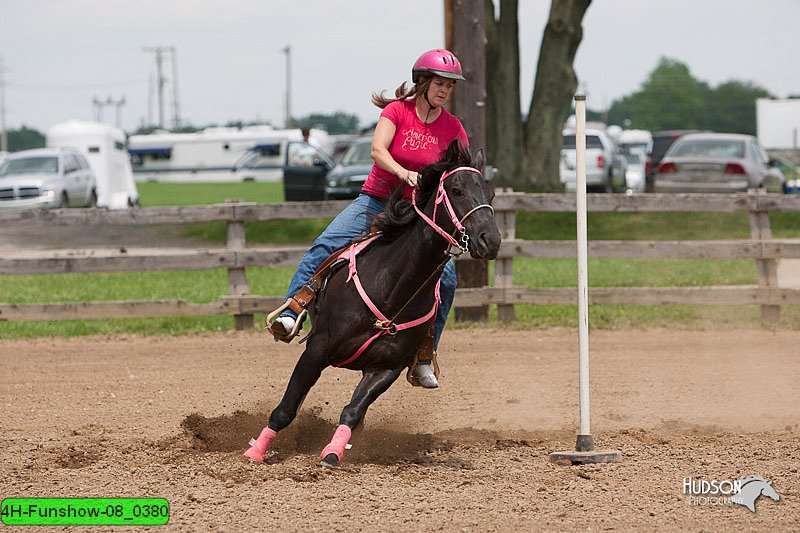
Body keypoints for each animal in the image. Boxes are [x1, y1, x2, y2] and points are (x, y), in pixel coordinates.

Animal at [247, 141, 504, 466]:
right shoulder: (317, 349)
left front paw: (333, 453)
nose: (490, 240)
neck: (392, 287)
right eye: (456, 190)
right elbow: (287, 407)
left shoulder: (387, 367)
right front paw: (255, 451)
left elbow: (353, 412)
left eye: (490, 194)